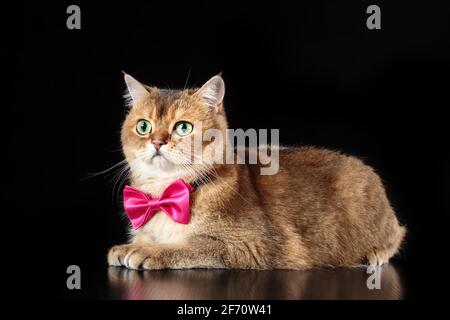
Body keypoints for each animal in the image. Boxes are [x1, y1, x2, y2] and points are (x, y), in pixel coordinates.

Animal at [107, 73, 406, 270]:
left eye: (183, 127)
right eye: (143, 126)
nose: (157, 142)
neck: (166, 193)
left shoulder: (252, 245)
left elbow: (194, 245)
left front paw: (148, 250)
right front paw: (132, 244)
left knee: (395, 237)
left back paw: (375, 254)